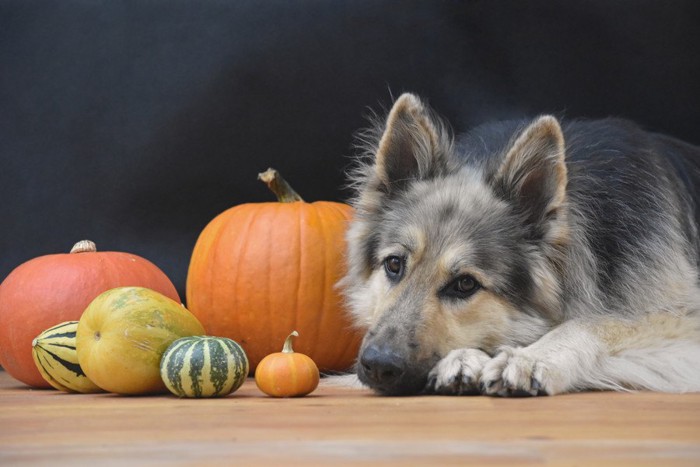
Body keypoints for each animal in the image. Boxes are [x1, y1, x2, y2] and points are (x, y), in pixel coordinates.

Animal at [342, 93, 700, 396]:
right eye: (394, 265)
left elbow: (599, 322)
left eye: (465, 284)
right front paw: (464, 357)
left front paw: (531, 357)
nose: (378, 366)